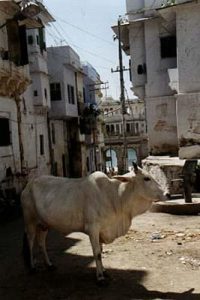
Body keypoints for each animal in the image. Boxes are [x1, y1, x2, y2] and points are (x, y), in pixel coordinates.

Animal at [21, 164, 166, 284]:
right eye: (146, 178)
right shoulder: (93, 229)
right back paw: (33, 267)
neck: (114, 197)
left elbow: (101, 251)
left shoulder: (101, 230)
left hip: (43, 225)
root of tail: (28, 186)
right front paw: (100, 277)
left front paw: (104, 271)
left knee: (41, 243)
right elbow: (97, 253)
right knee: (30, 242)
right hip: (30, 222)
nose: (167, 193)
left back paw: (49, 265)